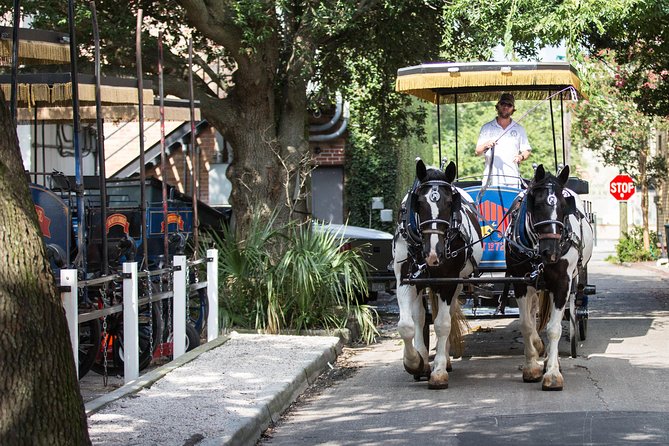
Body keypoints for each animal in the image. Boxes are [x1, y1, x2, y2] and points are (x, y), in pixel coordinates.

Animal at [392, 159, 480, 388]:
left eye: (449, 203)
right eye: (420, 203)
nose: (433, 254)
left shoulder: (448, 282)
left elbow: (442, 324)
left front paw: (439, 370)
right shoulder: (405, 280)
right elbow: (406, 325)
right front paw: (415, 363)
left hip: (456, 283)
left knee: (445, 316)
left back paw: (445, 361)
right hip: (422, 284)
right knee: (419, 317)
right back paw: (423, 359)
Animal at [504, 164, 592, 390]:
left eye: (564, 206)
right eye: (536, 204)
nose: (551, 252)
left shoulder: (562, 283)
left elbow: (554, 329)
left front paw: (552, 373)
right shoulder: (520, 282)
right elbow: (526, 325)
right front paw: (531, 367)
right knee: (533, 313)